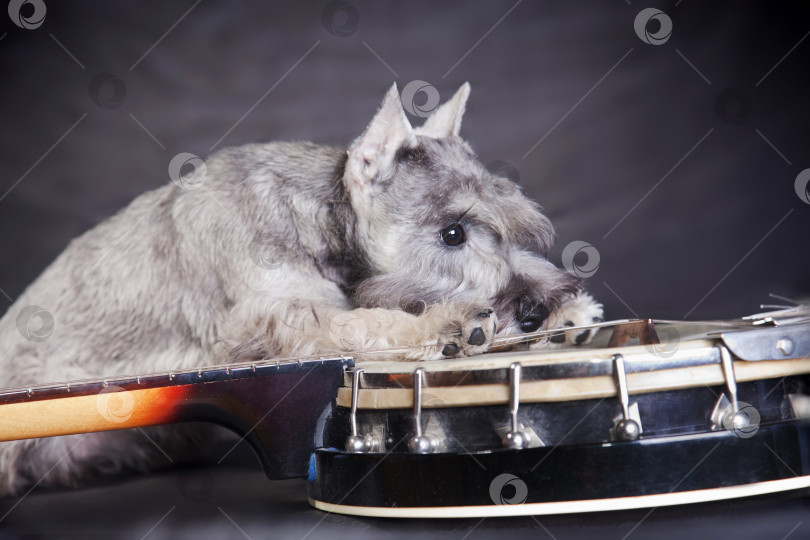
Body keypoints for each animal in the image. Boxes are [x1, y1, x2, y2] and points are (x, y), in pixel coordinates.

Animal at [0, 83, 600, 494]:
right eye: (452, 232)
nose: (534, 312)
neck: (321, 218)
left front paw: (570, 312)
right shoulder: (281, 320)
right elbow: (362, 322)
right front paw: (448, 322)